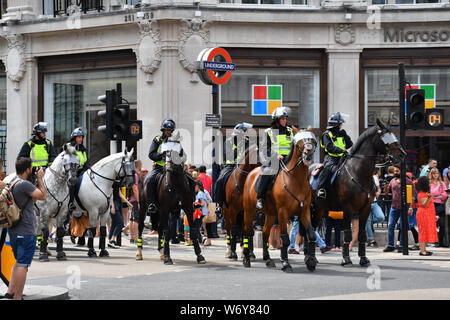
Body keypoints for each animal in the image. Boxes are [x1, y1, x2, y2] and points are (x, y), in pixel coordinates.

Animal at [241, 126, 318, 272]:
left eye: (312, 139)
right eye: (300, 141)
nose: (308, 154)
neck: (296, 180)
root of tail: (252, 173)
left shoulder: (304, 211)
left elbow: (311, 234)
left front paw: (311, 261)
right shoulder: (283, 212)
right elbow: (285, 239)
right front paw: (286, 263)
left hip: (271, 214)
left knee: (265, 233)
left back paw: (268, 259)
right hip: (249, 211)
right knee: (248, 231)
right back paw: (247, 259)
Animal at [308, 119, 406, 266]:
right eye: (385, 136)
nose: (402, 155)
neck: (359, 173)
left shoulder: (365, 208)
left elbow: (362, 234)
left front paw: (363, 259)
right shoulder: (347, 208)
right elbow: (348, 234)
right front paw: (346, 259)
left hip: (319, 209)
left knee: (311, 229)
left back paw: (311, 257)